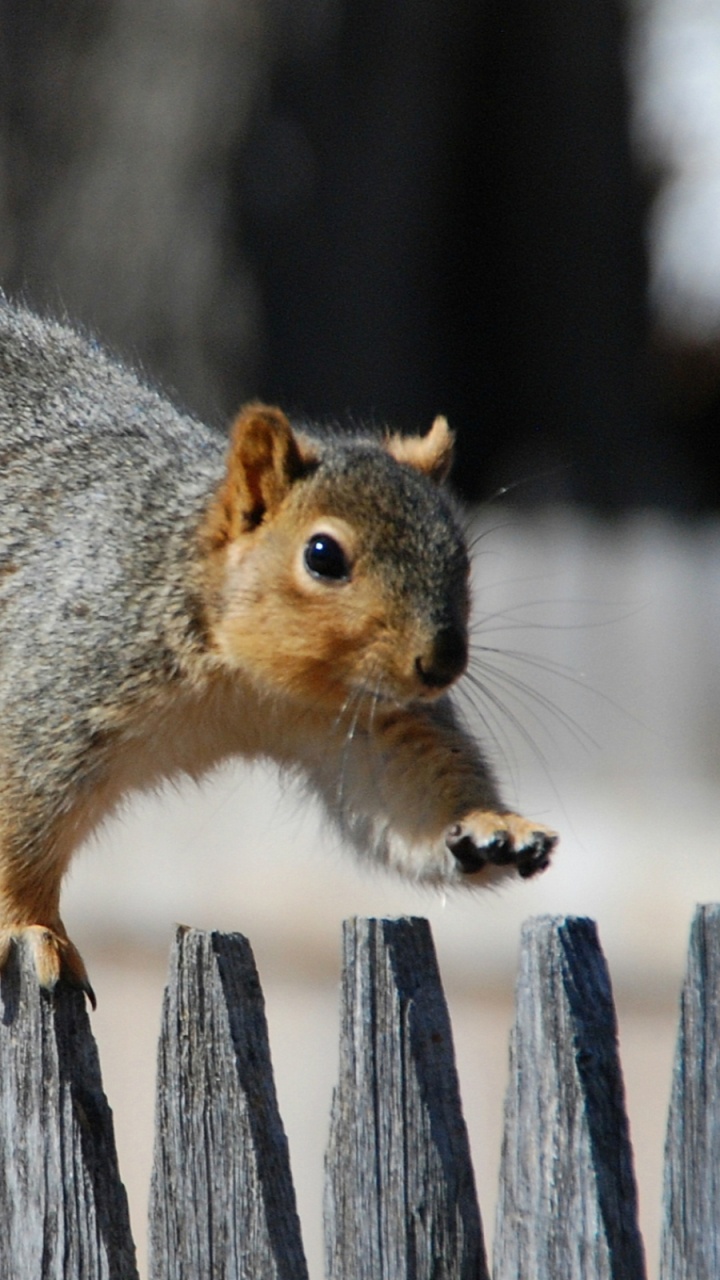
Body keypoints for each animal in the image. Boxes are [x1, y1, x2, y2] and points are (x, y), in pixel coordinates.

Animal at [0, 297, 557, 1006]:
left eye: (461, 556)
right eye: (323, 555)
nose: (442, 664)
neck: (243, 682)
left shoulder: (363, 722)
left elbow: (403, 791)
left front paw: (492, 828)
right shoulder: (56, 686)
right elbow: (20, 822)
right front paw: (31, 928)